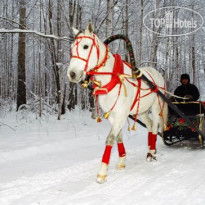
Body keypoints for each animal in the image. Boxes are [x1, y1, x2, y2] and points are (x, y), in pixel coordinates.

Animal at [68, 23, 167, 183]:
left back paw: (152, 152)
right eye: (71, 48)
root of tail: (157, 73)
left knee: (155, 126)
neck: (113, 78)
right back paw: (150, 149)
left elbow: (110, 139)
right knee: (150, 124)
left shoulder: (121, 114)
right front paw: (121, 161)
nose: (71, 74)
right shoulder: (113, 115)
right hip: (142, 111)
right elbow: (118, 137)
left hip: (156, 106)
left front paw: (102, 172)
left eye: (85, 46)